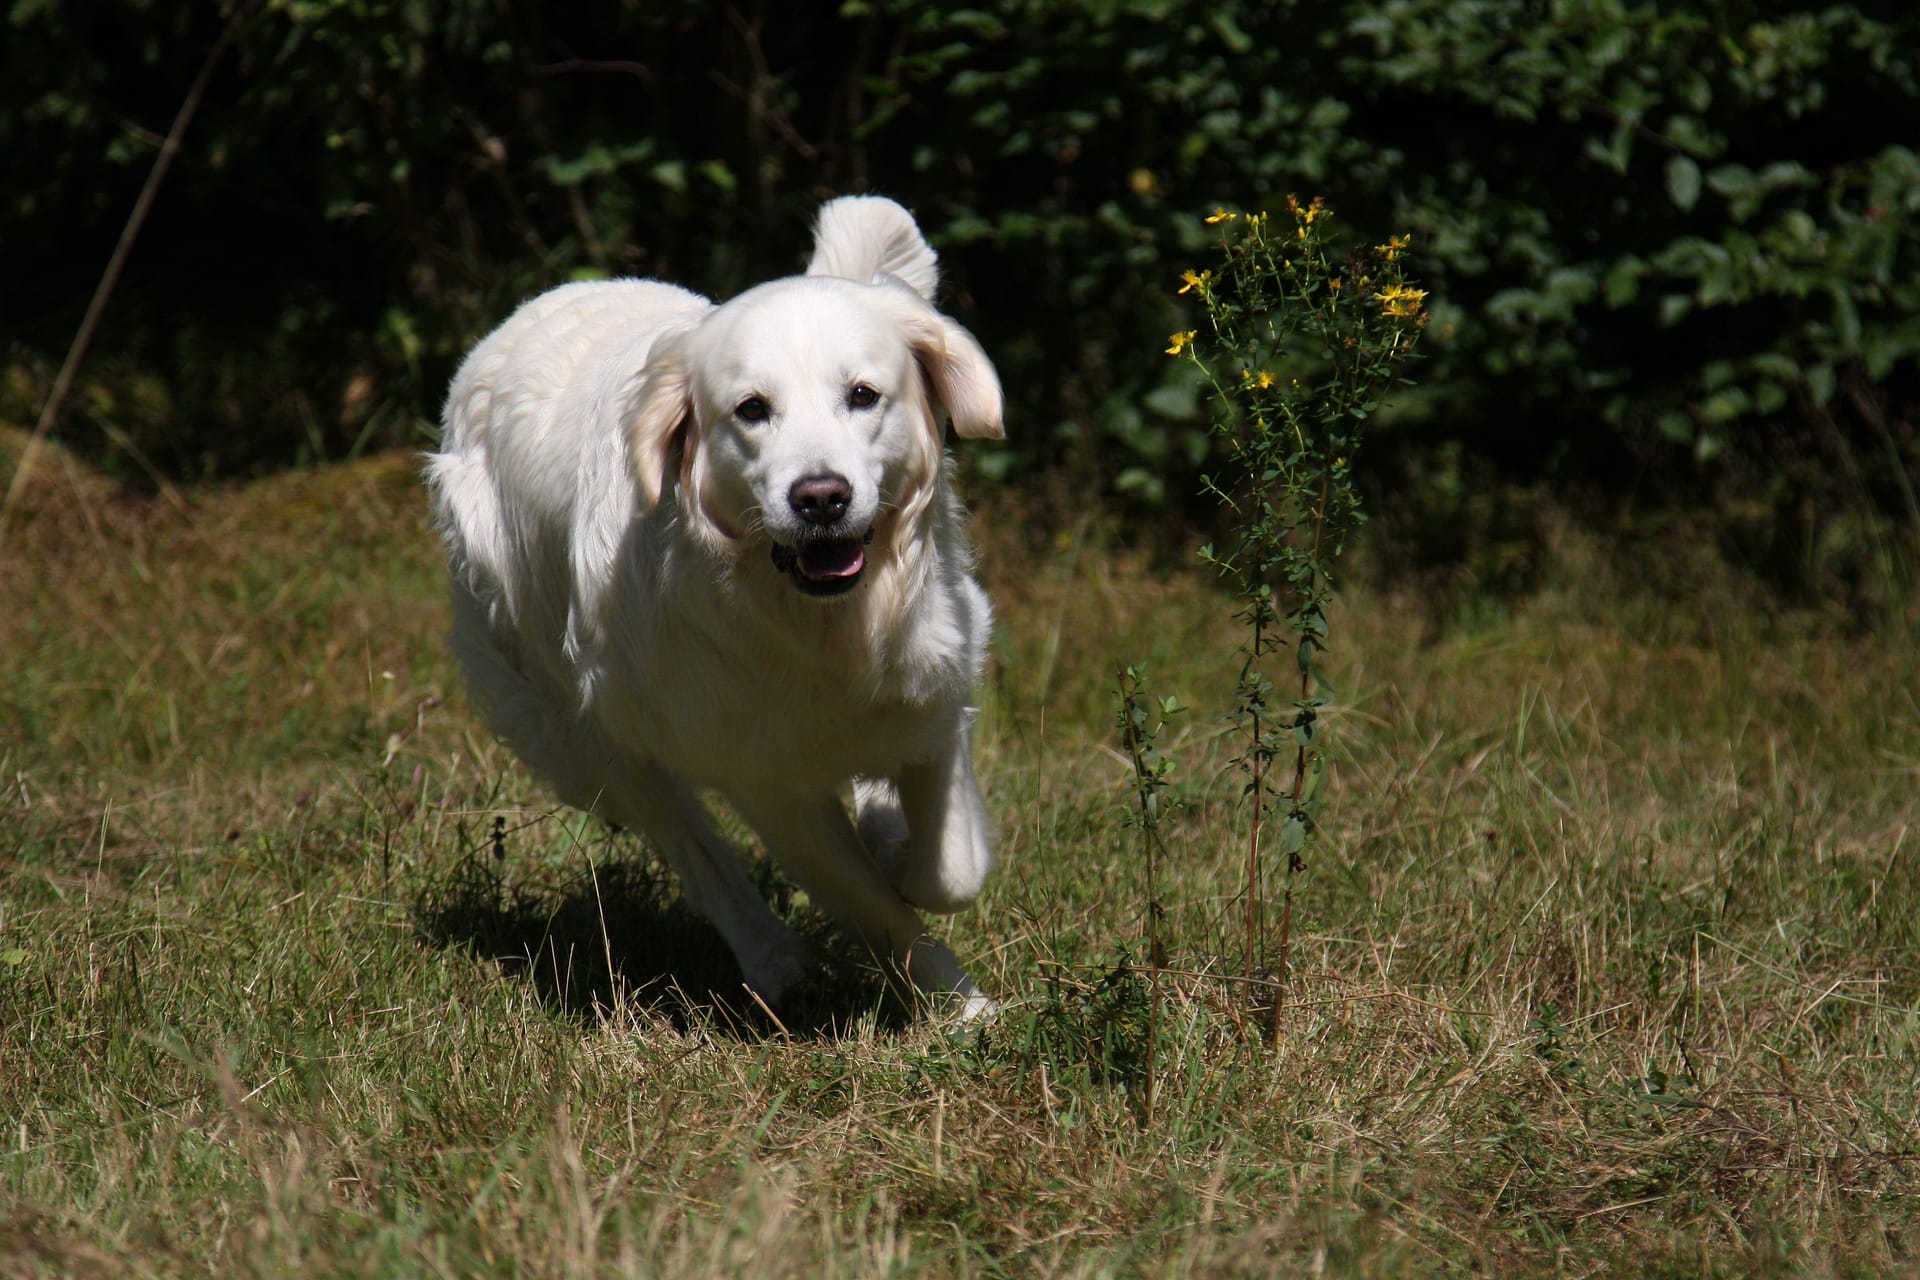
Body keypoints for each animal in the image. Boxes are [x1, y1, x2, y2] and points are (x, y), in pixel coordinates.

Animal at [428, 197, 1006, 1020]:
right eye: (751, 410)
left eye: (863, 395)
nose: (820, 497)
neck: (825, 628)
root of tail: (514, 323)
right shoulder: (767, 781)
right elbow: (876, 909)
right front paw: (960, 1011)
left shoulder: (937, 687)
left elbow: (948, 869)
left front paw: (899, 846)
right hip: (585, 731)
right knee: (689, 842)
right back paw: (771, 957)